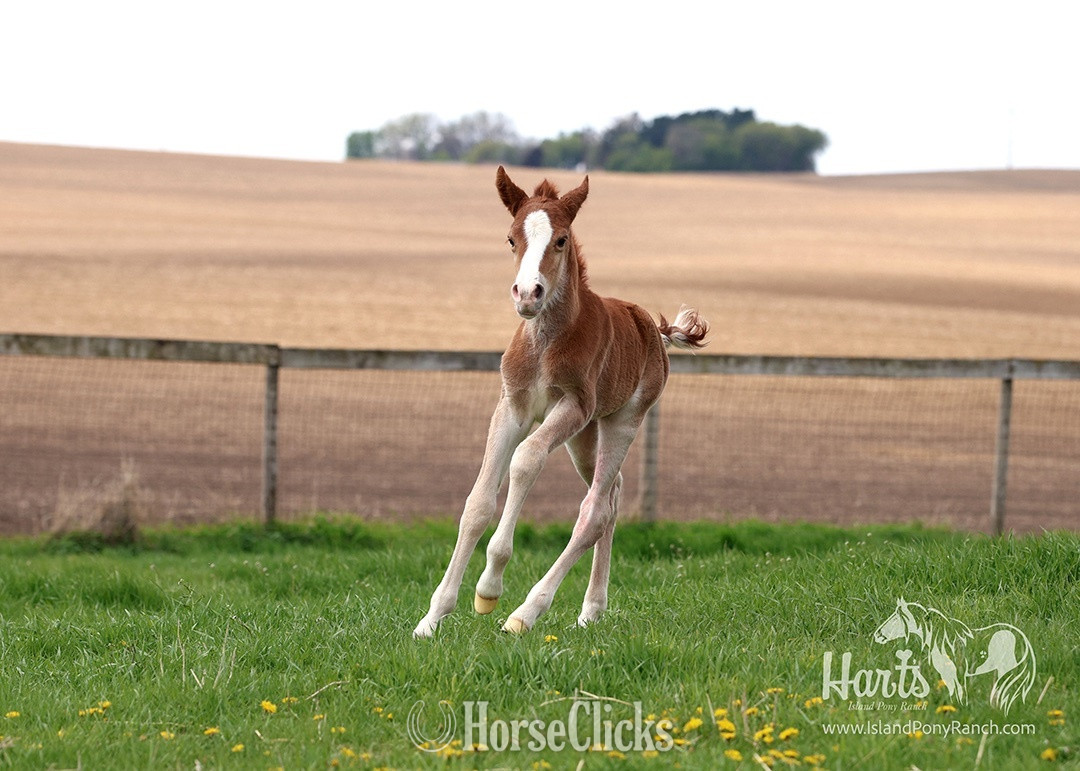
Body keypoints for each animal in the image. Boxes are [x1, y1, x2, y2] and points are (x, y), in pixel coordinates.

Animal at [413, 166, 708, 638]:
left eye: (562, 240)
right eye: (511, 238)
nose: (527, 293)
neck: (545, 342)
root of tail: (653, 329)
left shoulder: (571, 406)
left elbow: (525, 460)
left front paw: (489, 587)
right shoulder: (512, 406)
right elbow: (477, 502)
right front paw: (432, 617)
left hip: (621, 420)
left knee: (595, 511)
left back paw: (525, 613)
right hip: (584, 438)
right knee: (612, 493)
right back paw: (591, 609)